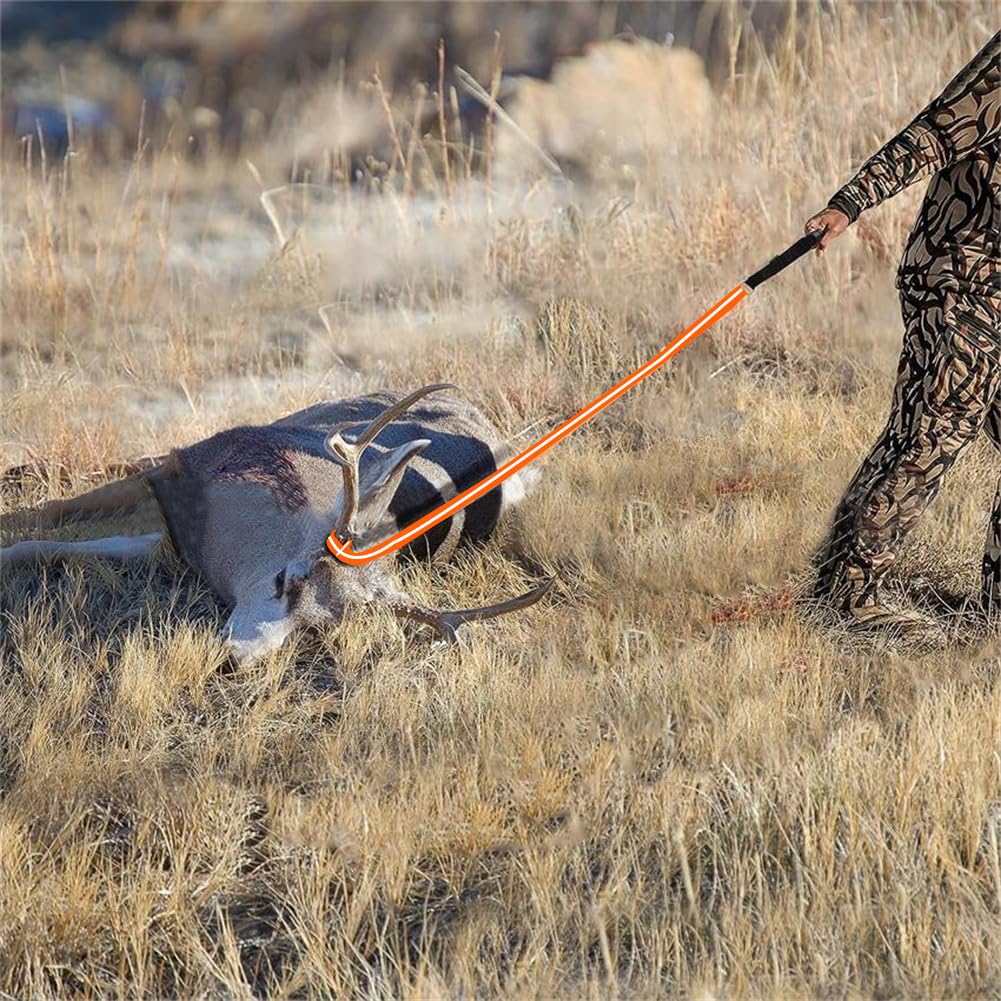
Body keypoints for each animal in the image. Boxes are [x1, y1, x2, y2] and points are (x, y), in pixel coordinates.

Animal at [0, 384, 552, 663]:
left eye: (317, 629)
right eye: (286, 578)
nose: (238, 659)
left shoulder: (171, 544)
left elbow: (54, 545)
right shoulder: (178, 471)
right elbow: (48, 516)